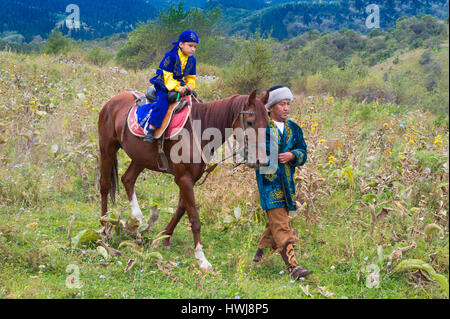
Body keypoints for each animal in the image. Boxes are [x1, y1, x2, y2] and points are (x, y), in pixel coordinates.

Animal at [97, 89, 268, 272]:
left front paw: (163, 239)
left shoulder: (188, 179)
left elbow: (180, 209)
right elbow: (194, 218)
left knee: (127, 179)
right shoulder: (184, 179)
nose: (261, 160)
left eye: (267, 122)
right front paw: (201, 257)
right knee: (105, 185)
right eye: (249, 122)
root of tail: (112, 102)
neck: (199, 131)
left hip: (140, 158)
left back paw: (137, 222)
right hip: (107, 148)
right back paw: (105, 226)